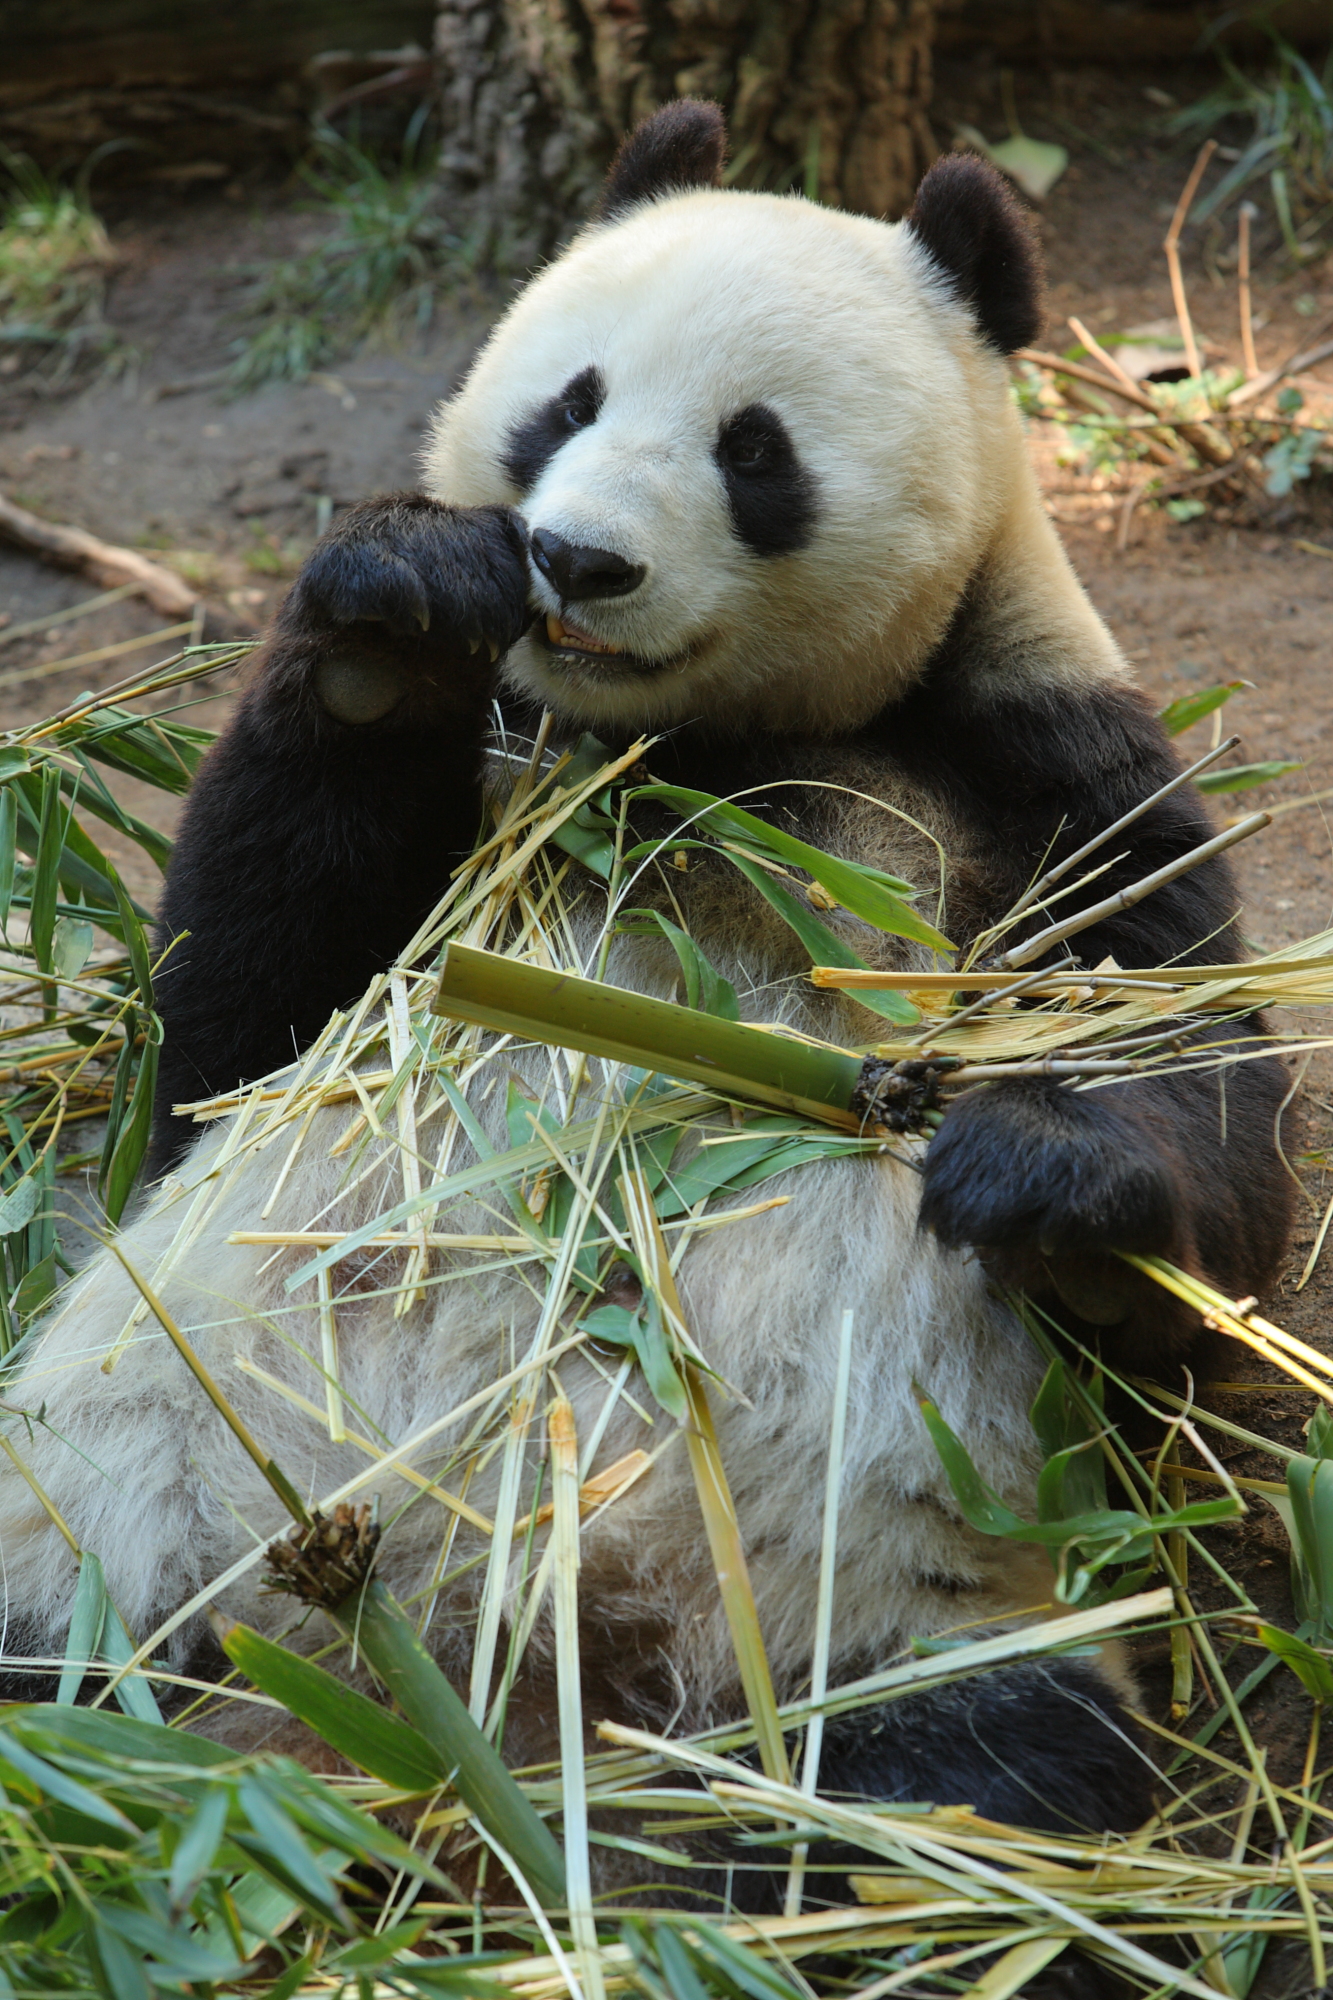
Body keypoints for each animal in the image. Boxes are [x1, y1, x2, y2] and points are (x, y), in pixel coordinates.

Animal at [0, 105, 1288, 1904]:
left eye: (755, 452)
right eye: (568, 401)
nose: (573, 560)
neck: (695, 755)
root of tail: (505, 1678)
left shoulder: (1040, 767)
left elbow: (1195, 1118)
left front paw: (1042, 1179)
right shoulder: (478, 798)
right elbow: (223, 1036)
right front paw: (394, 613)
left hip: (872, 1595)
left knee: (978, 1774)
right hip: (120, 1499)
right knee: (60, 1657)